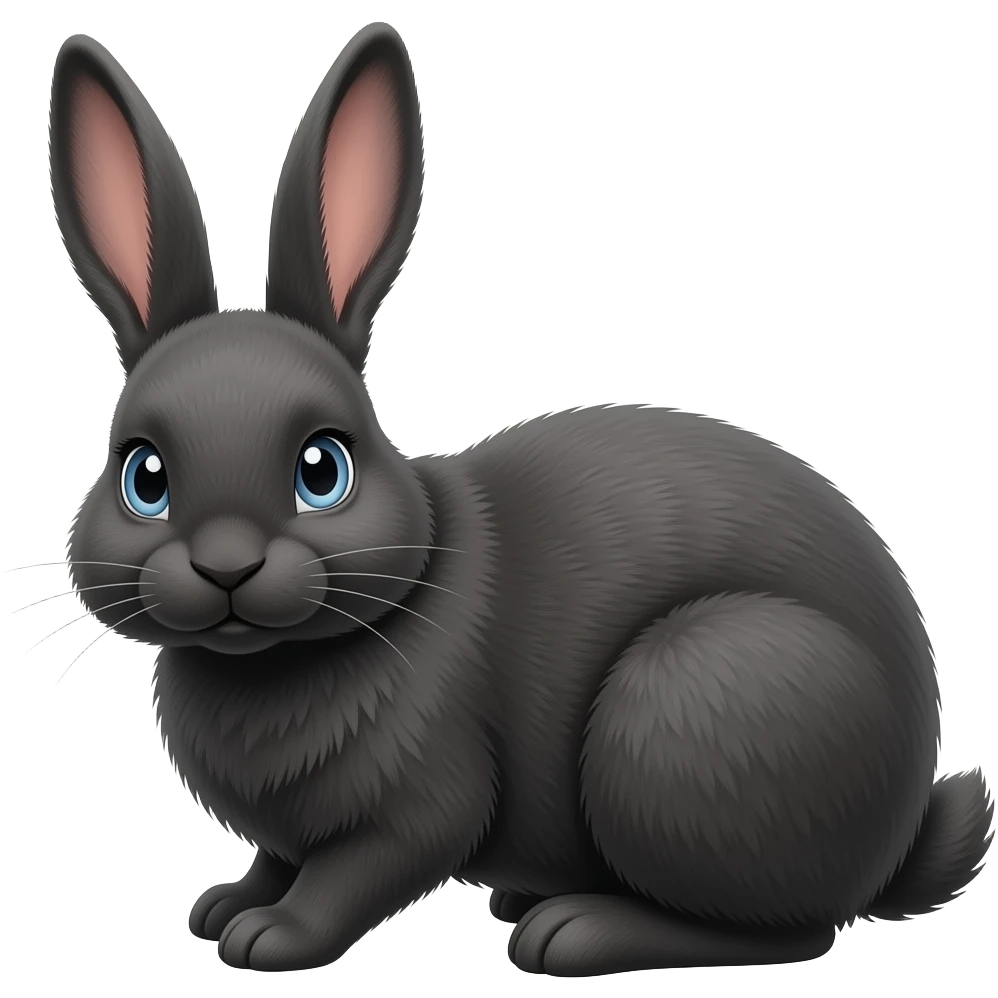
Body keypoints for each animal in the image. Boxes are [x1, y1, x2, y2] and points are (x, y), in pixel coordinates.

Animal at [47, 25, 995, 977]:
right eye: (144, 478)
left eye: (323, 470)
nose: (227, 565)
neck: (267, 664)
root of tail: (898, 838)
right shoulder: (289, 831)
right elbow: (277, 858)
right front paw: (223, 906)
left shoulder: (422, 802)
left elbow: (355, 872)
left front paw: (271, 936)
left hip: (685, 707)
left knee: (789, 931)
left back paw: (573, 929)